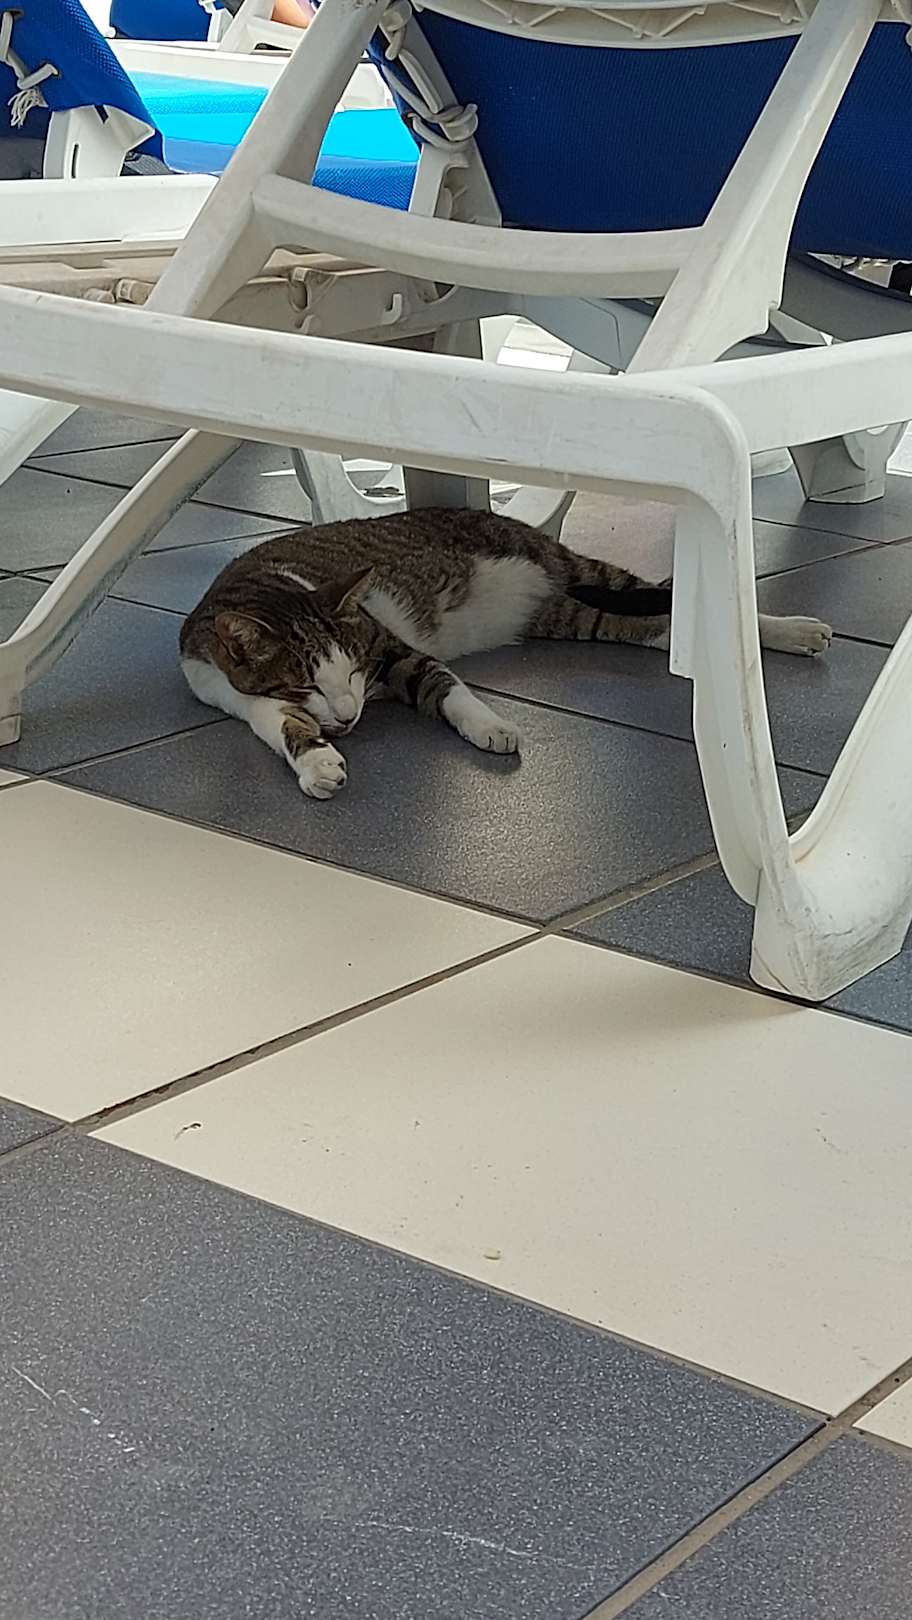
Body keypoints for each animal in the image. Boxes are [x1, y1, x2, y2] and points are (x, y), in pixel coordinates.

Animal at [180, 508, 831, 799]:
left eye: (355, 668)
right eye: (306, 685)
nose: (349, 714)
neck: (270, 584)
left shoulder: (393, 647)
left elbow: (447, 687)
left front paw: (491, 727)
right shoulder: (227, 692)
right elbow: (283, 727)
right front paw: (317, 761)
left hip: (584, 570)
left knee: (669, 596)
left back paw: (794, 630)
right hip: (574, 615)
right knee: (657, 625)